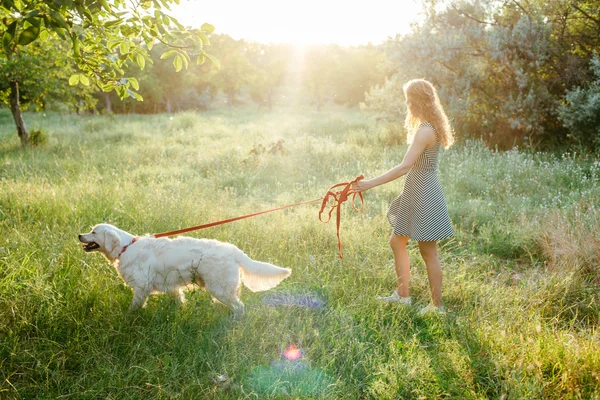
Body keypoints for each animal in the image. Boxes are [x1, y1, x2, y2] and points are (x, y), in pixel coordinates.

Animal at [78, 223, 292, 314]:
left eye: (93, 232)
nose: (79, 235)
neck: (125, 247)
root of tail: (234, 250)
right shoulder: (172, 287)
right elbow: (179, 300)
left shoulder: (141, 287)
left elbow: (133, 307)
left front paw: (127, 317)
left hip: (219, 288)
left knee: (240, 307)